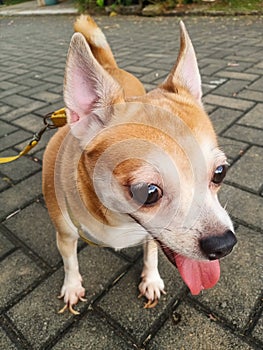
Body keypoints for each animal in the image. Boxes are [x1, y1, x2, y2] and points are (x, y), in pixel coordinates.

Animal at [42, 15, 237, 314]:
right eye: (148, 192)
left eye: (220, 173)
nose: (224, 244)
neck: (116, 219)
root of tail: (108, 66)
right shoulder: (64, 235)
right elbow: (70, 262)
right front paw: (72, 286)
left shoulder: (151, 236)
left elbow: (151, 253)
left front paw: (151, 280)